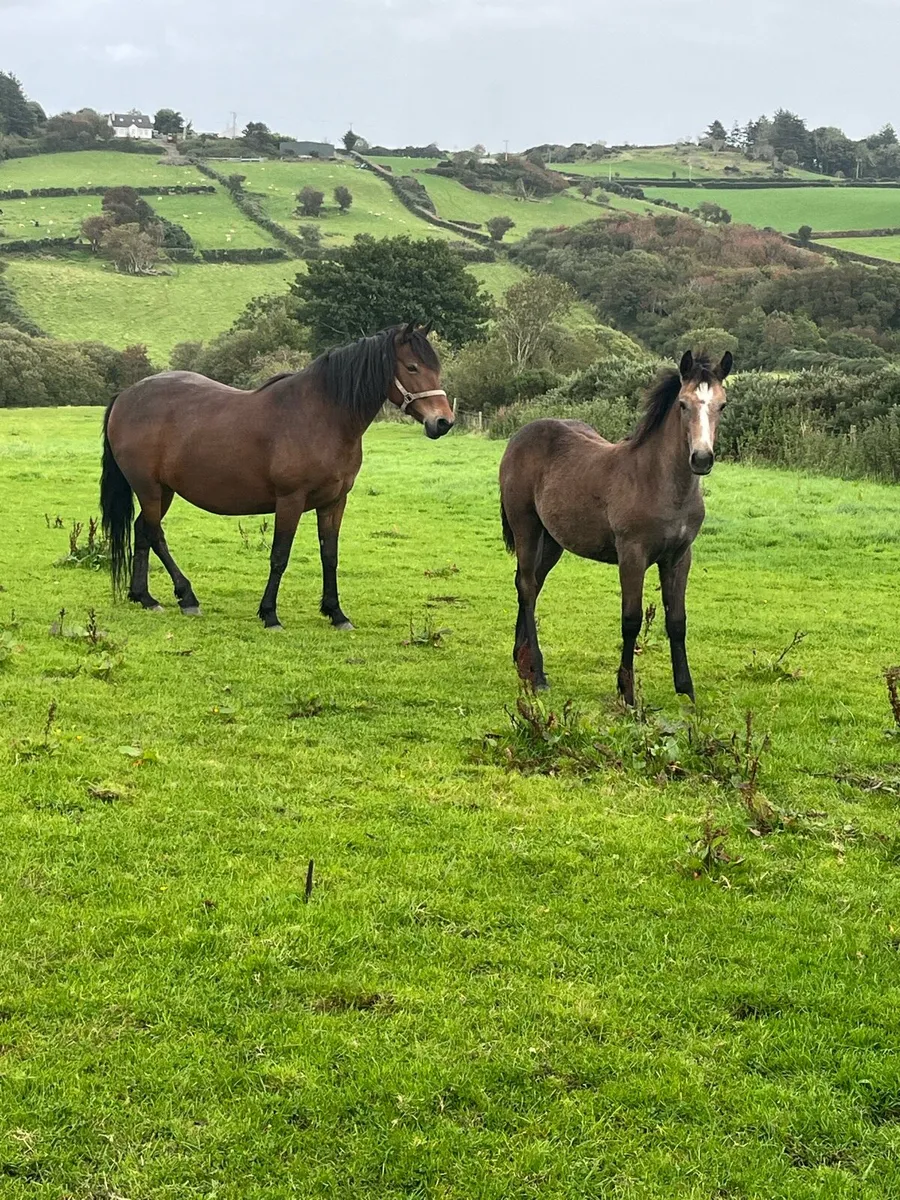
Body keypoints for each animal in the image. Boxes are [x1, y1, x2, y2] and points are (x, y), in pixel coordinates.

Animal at [100, 322, 454, 632]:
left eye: (435, 367)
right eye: (412, 367)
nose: (443, 422)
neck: (322, 416)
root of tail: (125, 396)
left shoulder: (334, 502)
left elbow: (330, 556)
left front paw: (336, 613)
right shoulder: (290, 501)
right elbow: (279, 556)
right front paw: (269, 614)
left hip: (164, 490)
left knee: (142, 531)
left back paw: (144, 597)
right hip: (148, 488)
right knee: (155, 534)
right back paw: (186, 597)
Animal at [499, 349, 733, 705]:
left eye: (722, 405)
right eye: (683, 404)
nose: (702, 458)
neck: (660, 482)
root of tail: (520, 436)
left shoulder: (680, 557)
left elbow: (677, 621)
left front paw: (686, 690)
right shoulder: (632, 554)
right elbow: (631, 619)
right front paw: (627, 691)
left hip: (553, 539)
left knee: (531, 585)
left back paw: (520, 657)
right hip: (526, 525)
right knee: (526, 584)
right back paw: (537, 674)